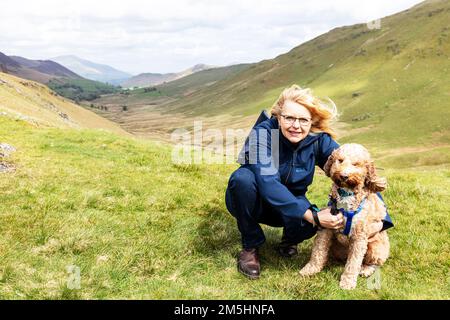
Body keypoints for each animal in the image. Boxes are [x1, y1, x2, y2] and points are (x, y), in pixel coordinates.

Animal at [298, 144, 390, 288]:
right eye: (340, 160)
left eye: (356, 164)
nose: (344, 176)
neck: (346, 194)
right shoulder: (326, 227)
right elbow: (318, 251)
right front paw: (310, 269)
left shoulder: (359, 237)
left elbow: (353, 262)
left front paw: (347, 282)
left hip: (375, 248)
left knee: (372, 263)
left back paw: (366, 269)